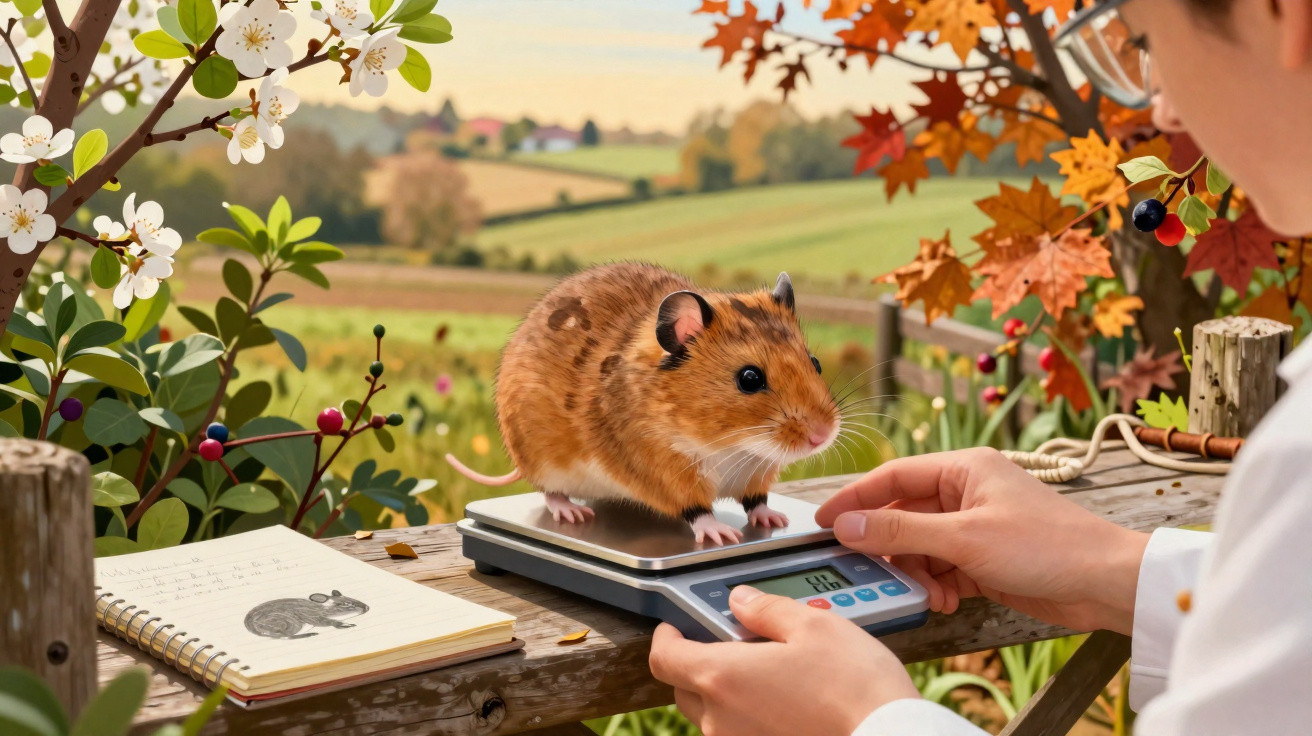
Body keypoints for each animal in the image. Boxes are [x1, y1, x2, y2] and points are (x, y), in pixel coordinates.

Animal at [447, 262, 840, 545]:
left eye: (816, 363)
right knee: (549, 492)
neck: (733, 447)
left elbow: (757, 501)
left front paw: (774, 520)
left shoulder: (757, 471)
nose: (822, 435)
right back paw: (572, 512)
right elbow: (698, 510)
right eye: (749, 378)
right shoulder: (662, 469)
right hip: (541, 458)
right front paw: (721, 534)